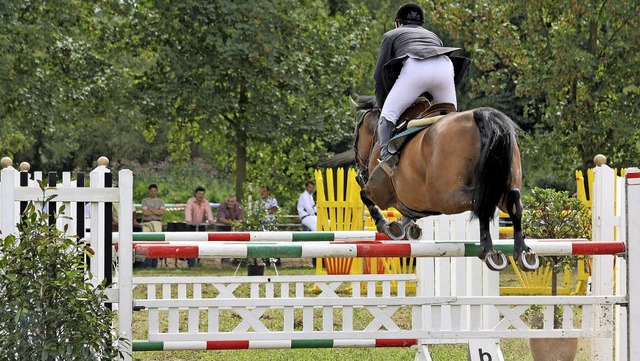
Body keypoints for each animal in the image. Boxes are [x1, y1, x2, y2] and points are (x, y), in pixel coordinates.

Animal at [356, 95, 540, 270]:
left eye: (357, 133)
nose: (360, 172)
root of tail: (479, 115)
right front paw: (408, 227)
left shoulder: (379, 192)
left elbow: (364, 194)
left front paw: (387, 226)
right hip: (500, 186)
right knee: (512, 202)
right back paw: (522, 251)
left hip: (447, 199)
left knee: (482, 202)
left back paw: (487, 250)